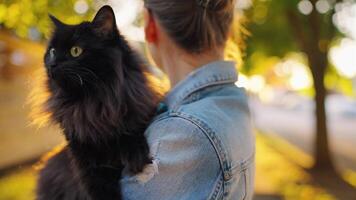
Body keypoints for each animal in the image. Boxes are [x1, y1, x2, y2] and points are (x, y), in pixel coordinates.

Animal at [35, 5, 160, 199]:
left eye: (75, 51)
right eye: (52, 51)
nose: (52, 65)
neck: (92, 103)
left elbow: (130, 131)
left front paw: (135, 154)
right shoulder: (88, 167)